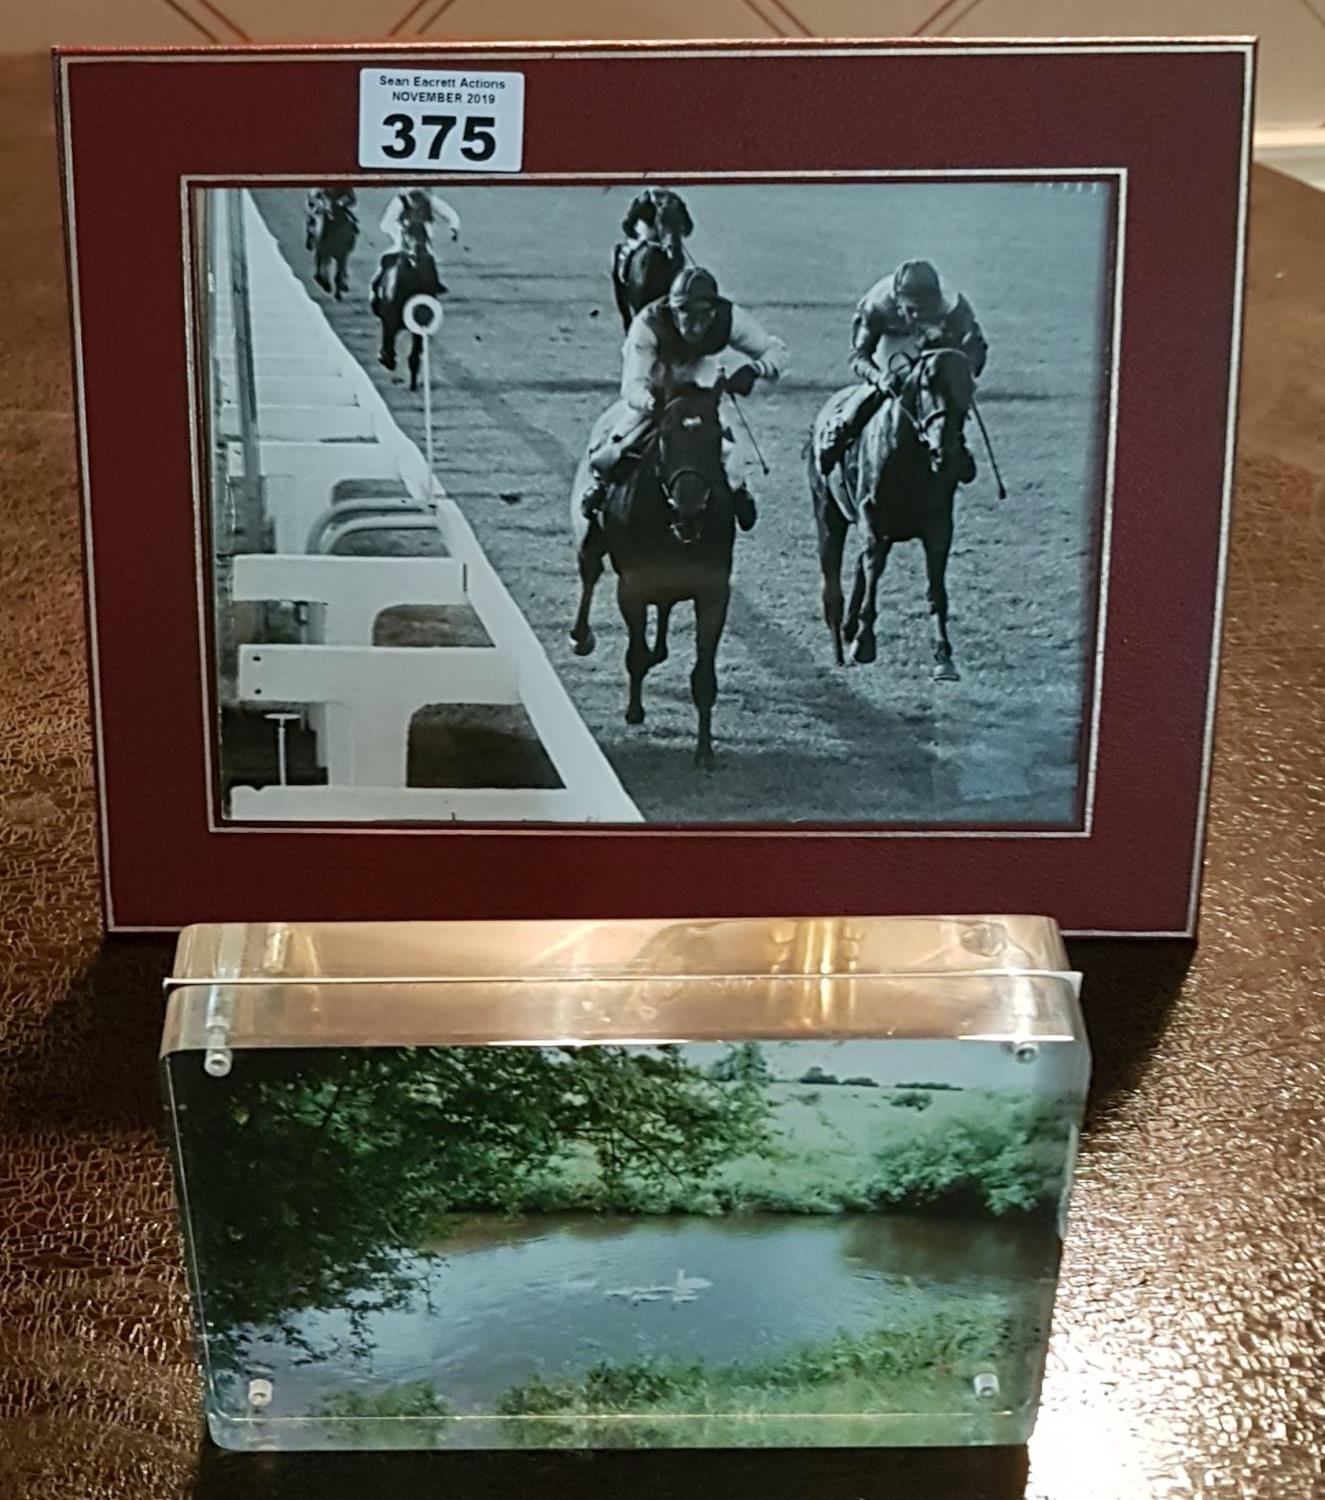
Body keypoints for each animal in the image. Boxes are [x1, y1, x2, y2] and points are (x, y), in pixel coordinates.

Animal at [570, 381, 735, 768]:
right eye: (665, 437)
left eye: (716, 435)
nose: (689, 506)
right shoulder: (633, 585)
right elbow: (634, 651)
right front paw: (634, 710)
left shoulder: (713, 592)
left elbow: (703, 676)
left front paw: (704, 752)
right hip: (591, 537)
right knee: (590, 573)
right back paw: (581, 637)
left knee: (664, 611)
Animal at [609, 187, 693, 331]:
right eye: (660, 220)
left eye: (681, 219)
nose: (673, 248)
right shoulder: (640, 304)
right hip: (620, 295)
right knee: (627, 320)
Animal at [804, 345, 978, 681]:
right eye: (927, 383)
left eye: (969, 388)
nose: (947, 453)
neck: (908, 457)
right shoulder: (871, 518)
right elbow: (871, 567)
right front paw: (864, 643)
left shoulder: (939, 527)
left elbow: (936, 589)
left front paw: (944, 657)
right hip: (827, 512)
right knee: (833, 573)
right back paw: (839, 641)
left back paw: (848, 626)